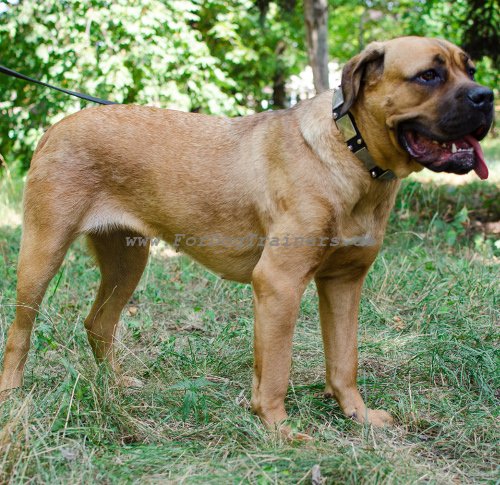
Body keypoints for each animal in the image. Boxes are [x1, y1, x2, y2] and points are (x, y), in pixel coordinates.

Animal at [0, 36, 492, 436]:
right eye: (428, 75)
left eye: (469, 68)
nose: (487, 97)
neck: (351, 152)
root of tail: (55, 128)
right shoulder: (278, 283)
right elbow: (275, 370)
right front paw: (280, 431)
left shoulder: (344, 283)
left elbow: (344, 362)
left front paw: (357, 416)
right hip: (42, 254)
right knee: (19, 333)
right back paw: (12, 395)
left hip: (127, 259)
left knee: (98, 324)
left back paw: (116, 386)